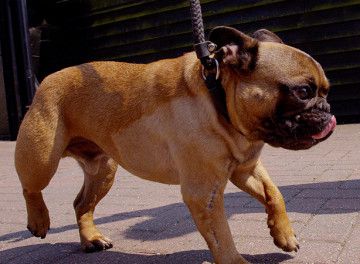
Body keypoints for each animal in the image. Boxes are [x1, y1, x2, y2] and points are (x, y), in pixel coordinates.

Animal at [14, 27, 334, 264]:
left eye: (325, 91)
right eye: (303, 91)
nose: (327, 109)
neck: (218, 100)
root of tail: (47, 80)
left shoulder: (245, 168)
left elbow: (274, 194)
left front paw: (284, 235)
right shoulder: (204, 193)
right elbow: (222, 235)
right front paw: (236, 260)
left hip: (103, 169)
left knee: (82, 203)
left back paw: (91, 239)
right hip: (41, 157)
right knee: (31, 187)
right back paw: (39, 220)